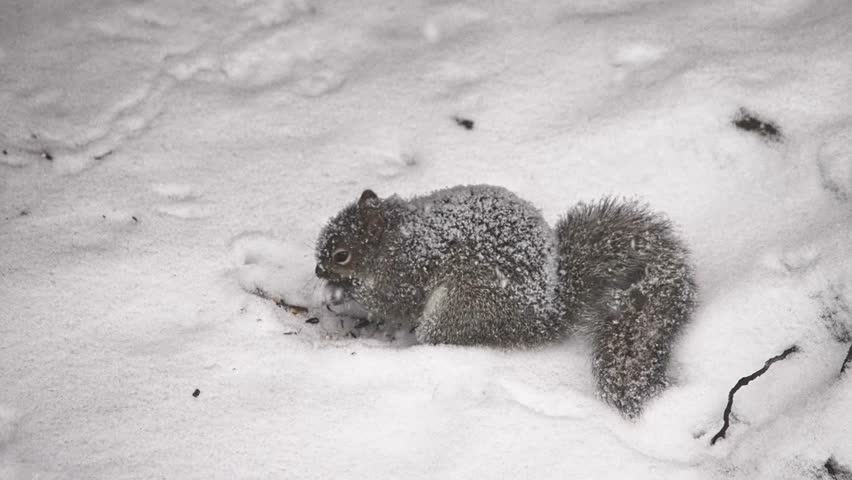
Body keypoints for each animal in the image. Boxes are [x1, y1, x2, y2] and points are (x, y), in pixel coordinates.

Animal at [314, 185, 697, 417]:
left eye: (341, 255)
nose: (318, 270)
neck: (392, 238)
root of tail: (544, 314)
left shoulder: (405, 271)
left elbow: (391, 301)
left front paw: (340, 292)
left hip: (462, 304)